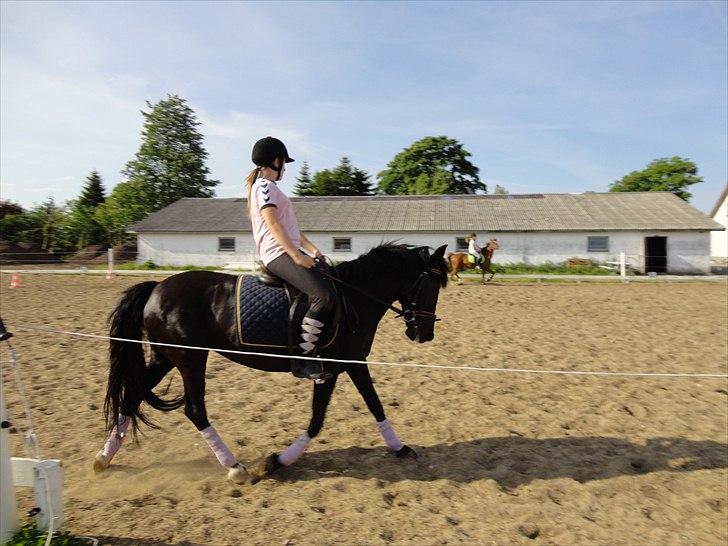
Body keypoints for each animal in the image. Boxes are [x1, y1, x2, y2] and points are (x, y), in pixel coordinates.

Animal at [93, 244, 448, 484]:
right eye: (431, 285)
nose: (424, 334)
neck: (354, 299)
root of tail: (157, 287)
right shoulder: (329, 369)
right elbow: (317, 421)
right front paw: (274, 462)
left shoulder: (353, 362)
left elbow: (376, 405)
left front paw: (400, 448)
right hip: (191, 359)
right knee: (194, 411)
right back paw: (235, 468)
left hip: (167, 358)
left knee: (132, 396)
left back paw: (103, 459)